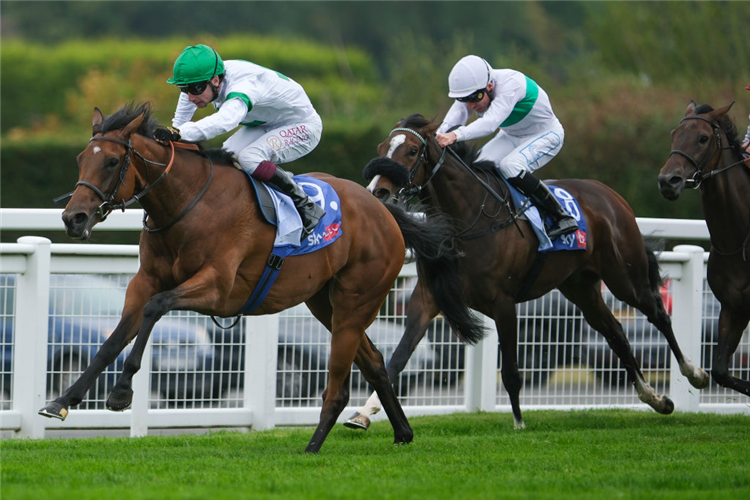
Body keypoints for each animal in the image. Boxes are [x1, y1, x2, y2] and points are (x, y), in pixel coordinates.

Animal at [36, 102, 488, 454]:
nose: (74, 218)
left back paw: (314, 444)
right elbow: (112, 339)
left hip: (356, 300)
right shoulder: (143, 281)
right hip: (324, 303)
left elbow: (153, 310)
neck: (187, 203)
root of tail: (385, 211)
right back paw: (402, 432)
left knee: (339, 382)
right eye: (81, 159)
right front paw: (62, 400)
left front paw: (121, 392)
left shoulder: (218, 290)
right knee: (375, 361)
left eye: (112, 161)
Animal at [346, 113, 712, 430]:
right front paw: (362, 414)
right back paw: (654, 397)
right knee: (617, 334)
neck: (468, 218)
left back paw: (694, 373)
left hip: (625, 277)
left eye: (411, 150)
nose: (377, 191)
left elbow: (510, 370)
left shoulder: (503, 303)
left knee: (658, 314)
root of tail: (610, 196)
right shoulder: (428, 297)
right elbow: (397, 358)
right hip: (581, 288)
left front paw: (519, 423)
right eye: (382, 147)